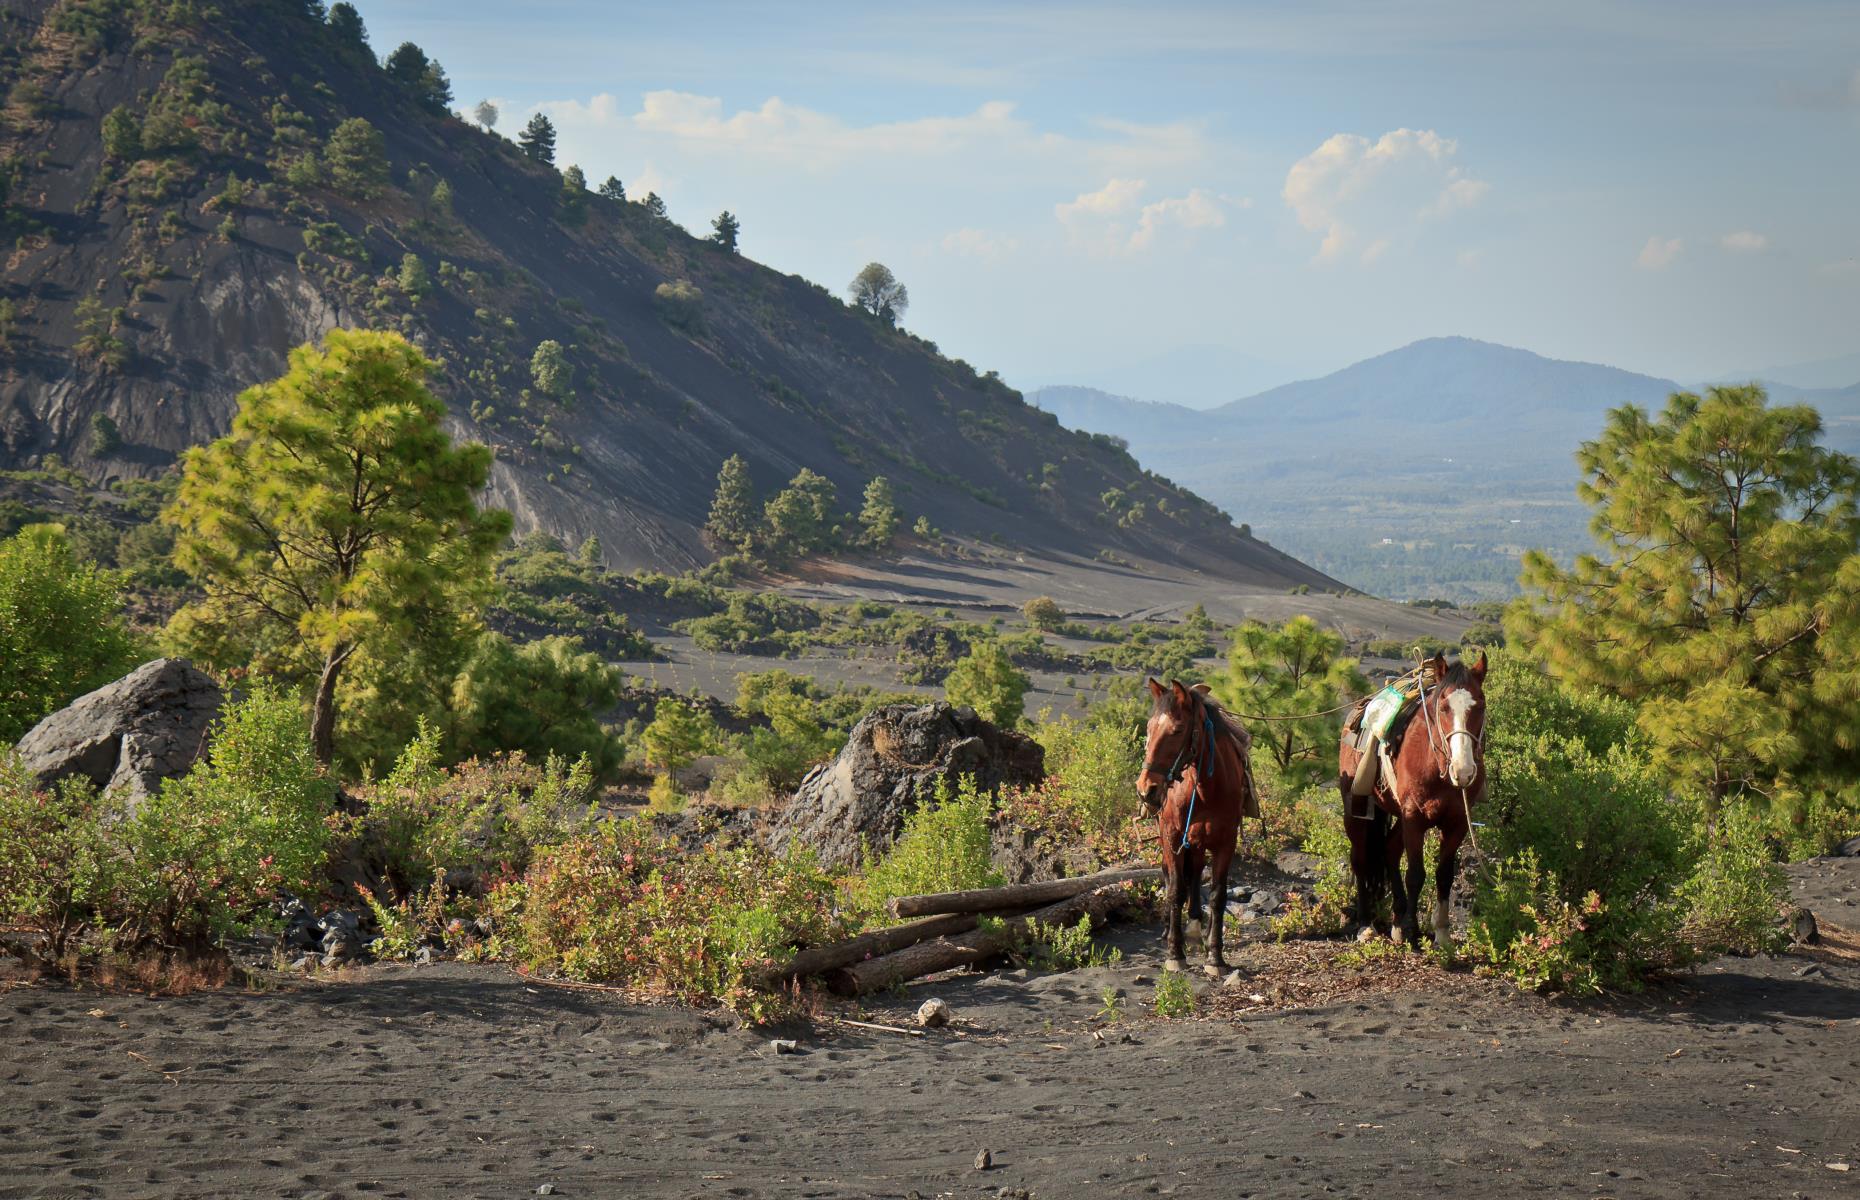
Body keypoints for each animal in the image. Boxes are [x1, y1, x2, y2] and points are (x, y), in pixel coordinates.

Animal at [1123, 677, 1257, 967]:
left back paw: (1197, 928)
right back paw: (1169, 929)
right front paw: (1175, 953)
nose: (1146, 790)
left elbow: (1218, 895)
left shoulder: (1225, 842)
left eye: (1177, 730)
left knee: (1195, 873)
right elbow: (1175, 889)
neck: (1206, 788)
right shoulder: (1172, 836)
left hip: (1197, 840)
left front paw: (1215, 955)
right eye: (1149, 728)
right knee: (1173, 875)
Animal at [1346, 654, 1488, 945]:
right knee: (1360, 859)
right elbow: (1415, 874)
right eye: (1443, 707)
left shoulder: (1456, 823)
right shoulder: (1414, 817)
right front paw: (1413, 930)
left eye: (1480, 705)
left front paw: (1442, 933)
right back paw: (1365, 924)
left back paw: (1396, 922)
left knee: (1388, 849)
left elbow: (1444, 875)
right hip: (1355, 809)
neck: (1437, 763)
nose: (1464, 770)